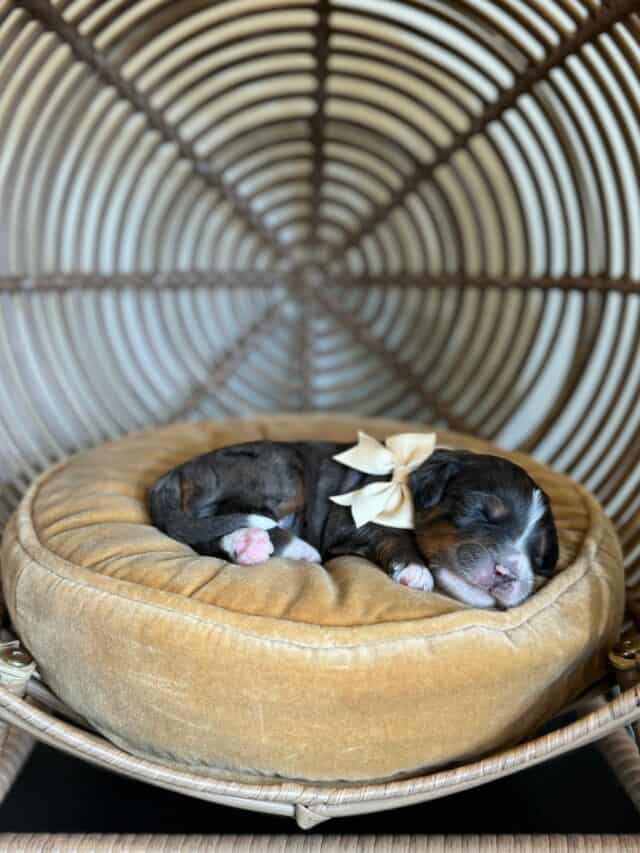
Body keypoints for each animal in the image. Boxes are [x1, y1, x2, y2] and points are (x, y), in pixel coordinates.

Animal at [148, 442, 556, 608]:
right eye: (480, 511)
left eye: (538, 556)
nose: (508, 573)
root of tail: (176, 472)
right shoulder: (353, 523)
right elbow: (392, 536)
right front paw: (415, 570)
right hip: (281, 472)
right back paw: (271, 545)